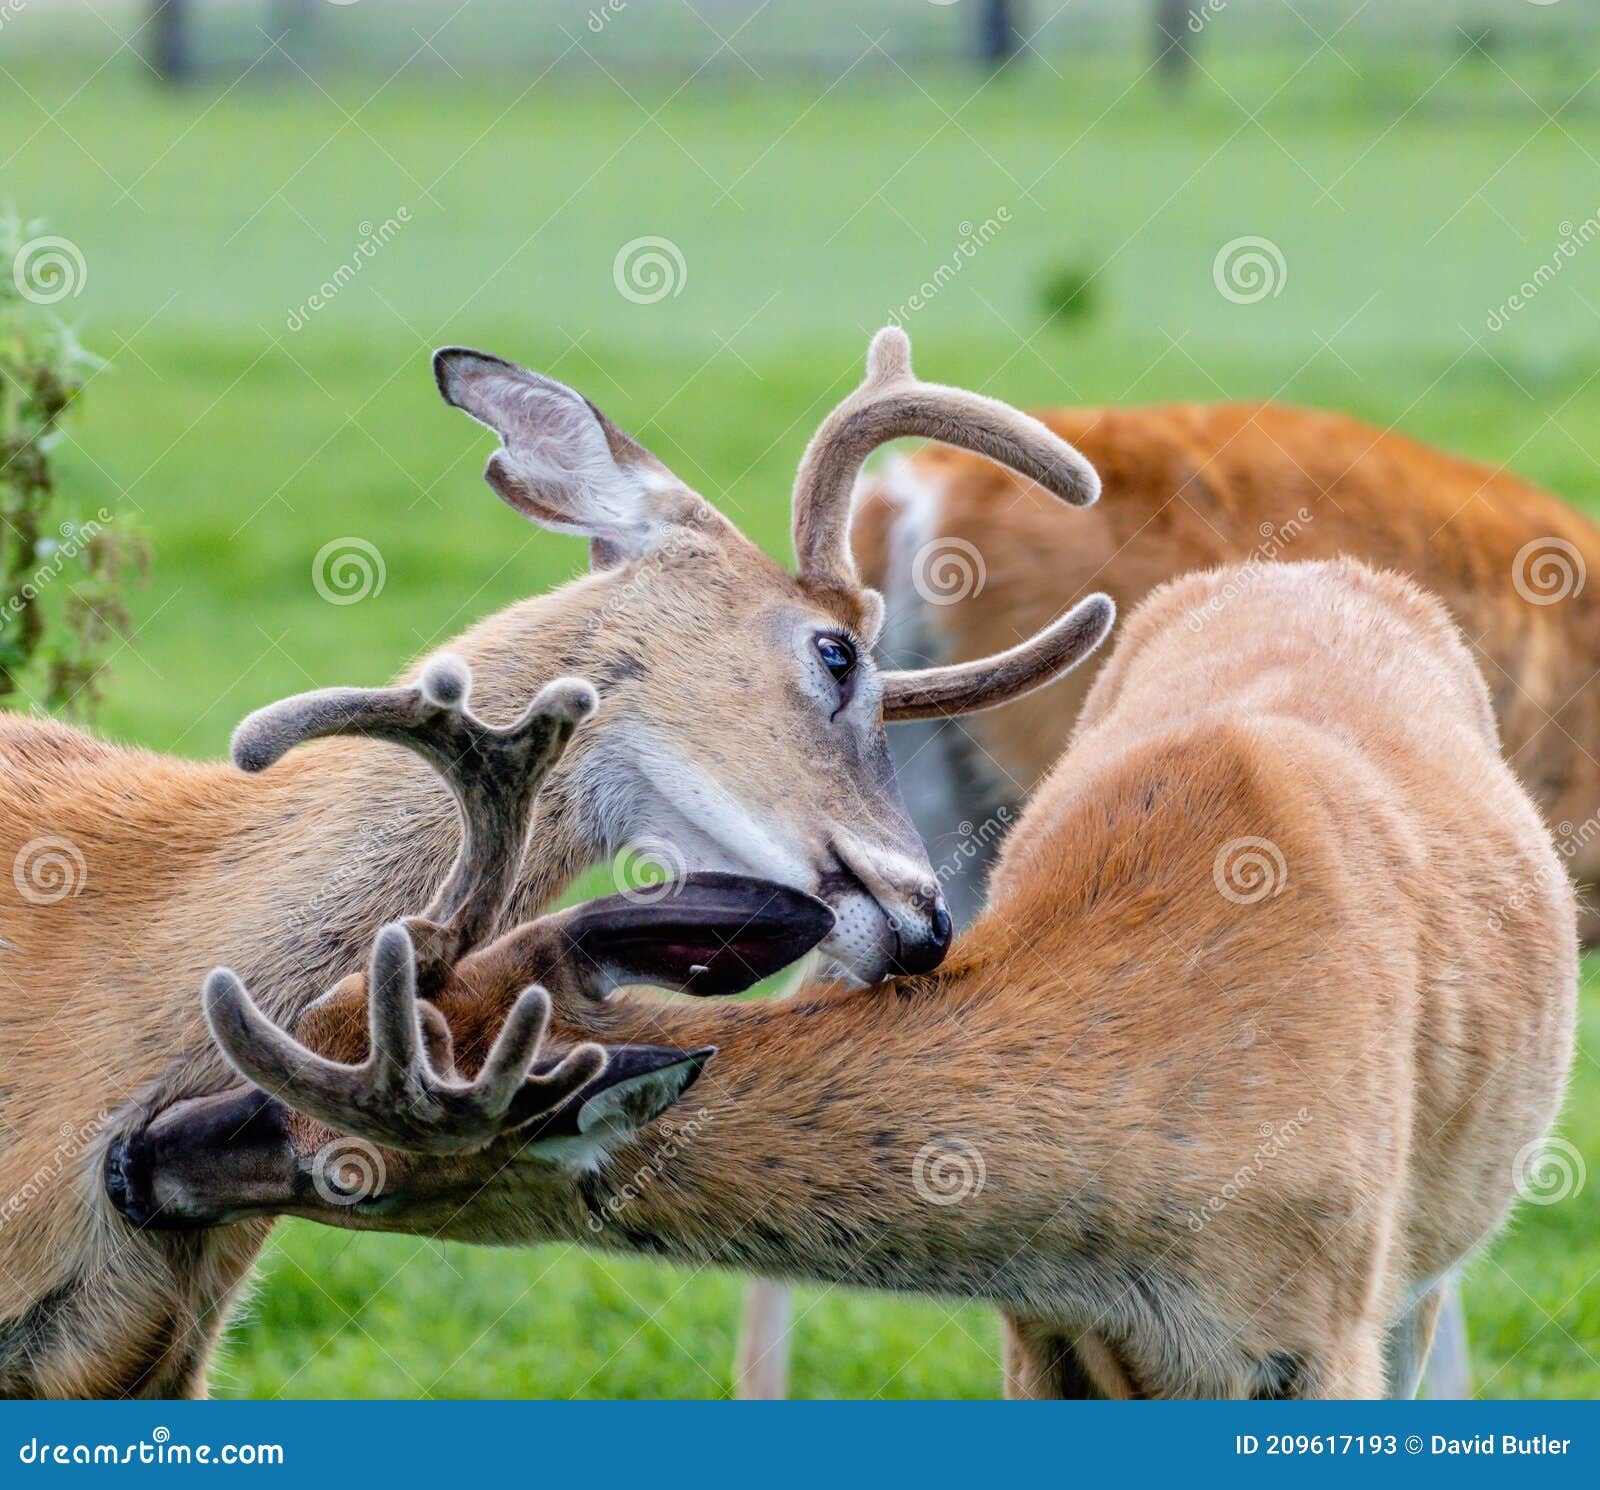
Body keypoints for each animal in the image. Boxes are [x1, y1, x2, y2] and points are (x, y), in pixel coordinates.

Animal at [112, 556, 1574, 1395]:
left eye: (343, 1166)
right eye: (314, 1012)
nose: (131, 1154)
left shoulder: (1322, 1327)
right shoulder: (1042, 1330)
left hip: (1424, 1269)